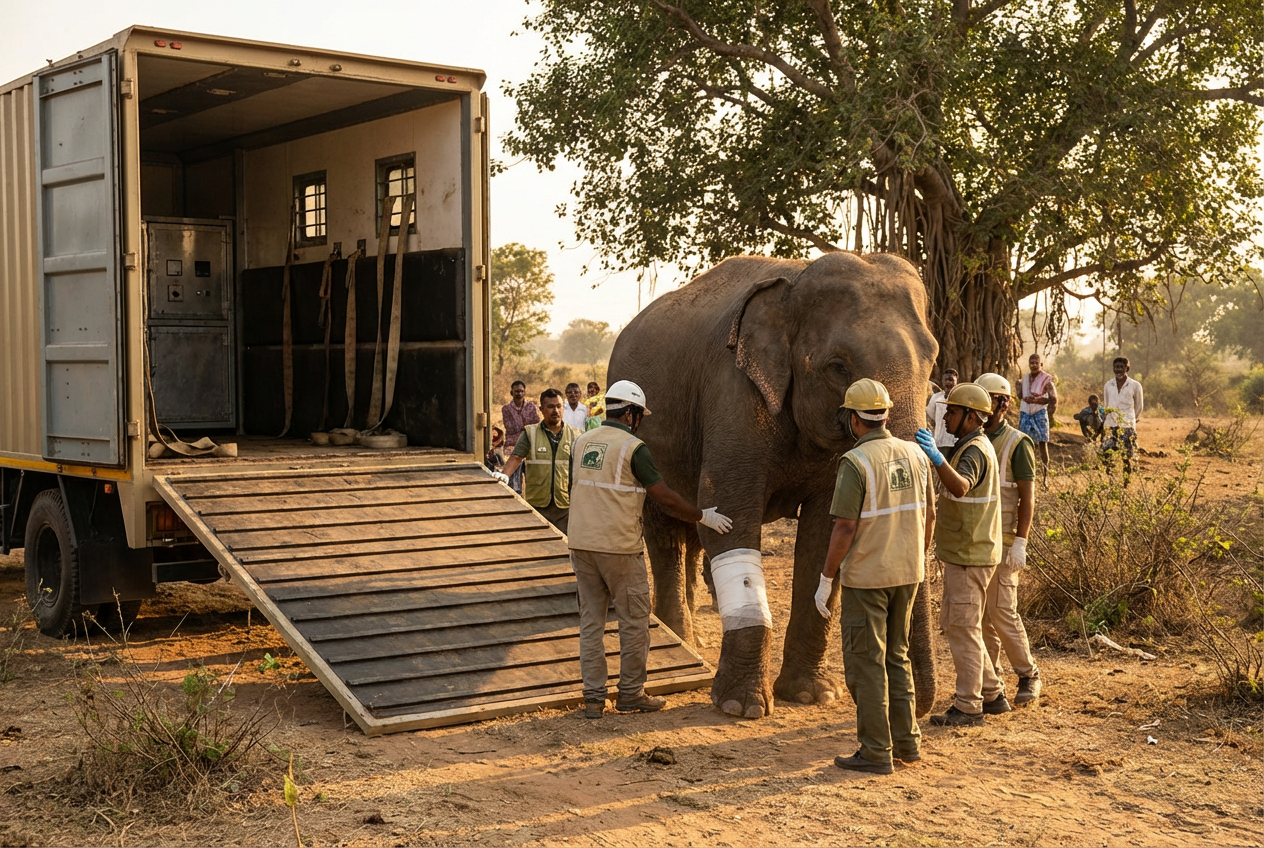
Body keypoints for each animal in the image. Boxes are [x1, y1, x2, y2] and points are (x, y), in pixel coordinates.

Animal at [607, 252, 939, 719]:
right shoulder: (732, 392)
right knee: (665, 532)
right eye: (838, 367)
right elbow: (728, 515)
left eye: (933, 359)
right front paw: (741, 706)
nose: (921, 708)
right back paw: (681, 641)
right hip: (643, 436)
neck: (795, 282)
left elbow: (828, 532)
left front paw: (813, 694)